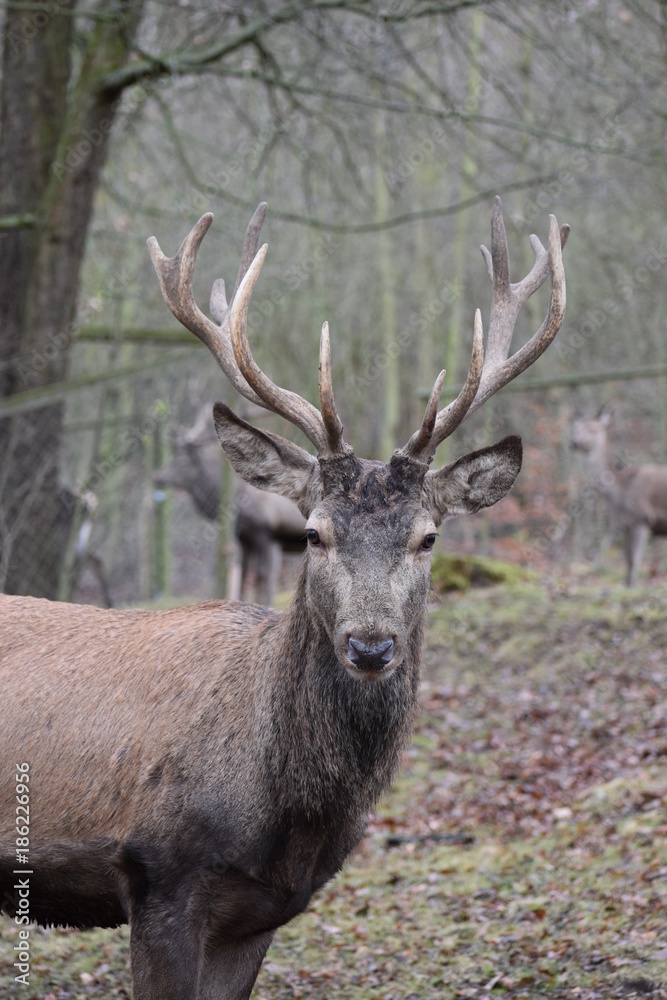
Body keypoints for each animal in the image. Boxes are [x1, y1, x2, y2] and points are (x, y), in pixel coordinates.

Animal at [0, 199, 568, 996]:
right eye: (312, 533)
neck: (287, 814)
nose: (370, 643)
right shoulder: (158, 874)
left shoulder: (258, 913)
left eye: (428, 537)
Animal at [572, 408, 667, 584]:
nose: (574, 442)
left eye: (593, 429)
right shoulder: (625, 525)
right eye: (575, 428)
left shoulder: (641, 520)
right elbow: (627, 562)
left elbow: (634, 562)